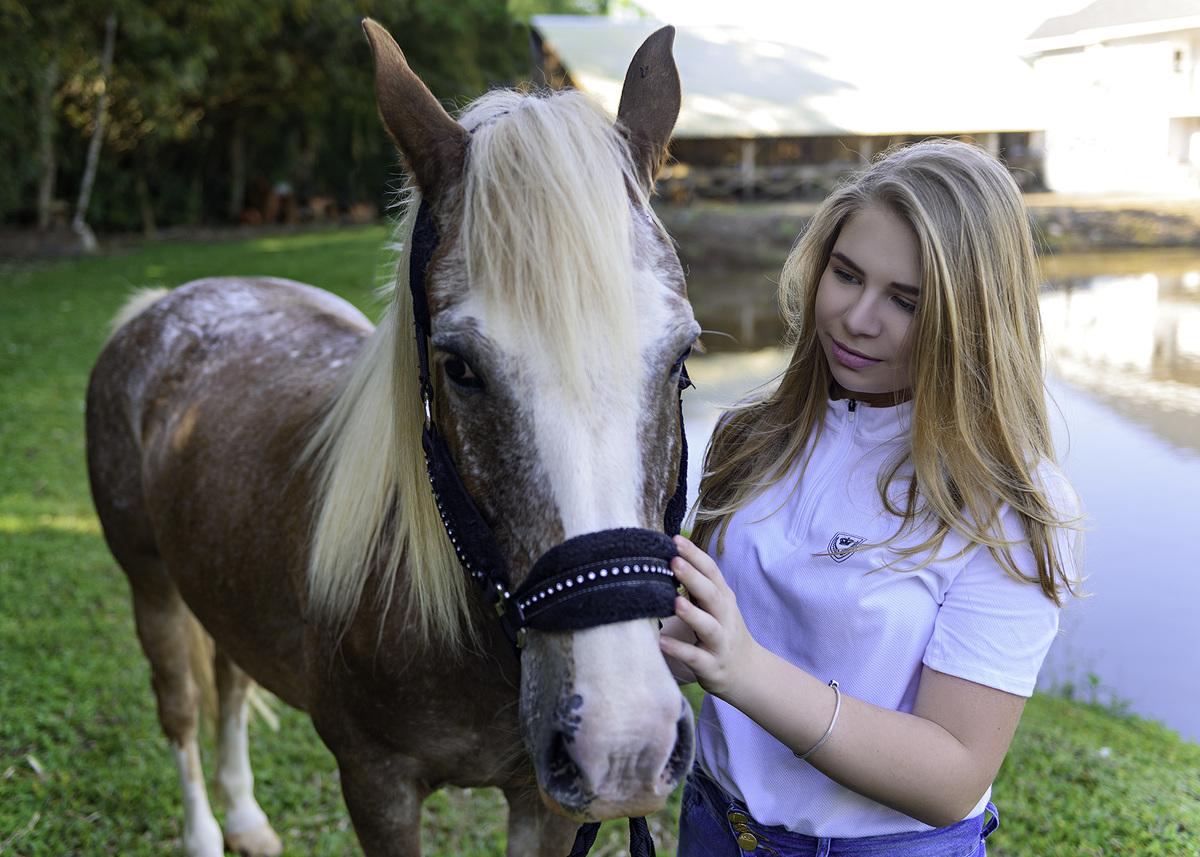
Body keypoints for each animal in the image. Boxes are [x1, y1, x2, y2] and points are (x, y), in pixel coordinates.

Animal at [85, 19, 698, 857]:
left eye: (681, 360)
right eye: (459, 366)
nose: (624, 738)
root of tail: (162, 305)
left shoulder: (544, 804)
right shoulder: (376, 782)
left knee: (232, 684)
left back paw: (245, 818)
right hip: (150, 585)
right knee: (180, 709)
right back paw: (206, 832)